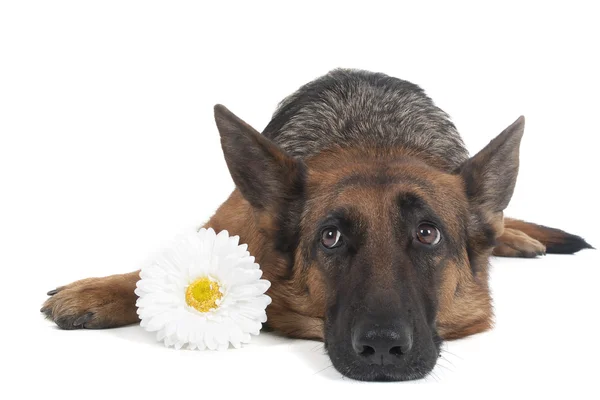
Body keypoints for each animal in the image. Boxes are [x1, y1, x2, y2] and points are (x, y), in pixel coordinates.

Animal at [41, 70, 592, 382]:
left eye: (427, 232)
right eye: (331, 237)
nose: (383, 349)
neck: (373, 138)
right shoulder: (232, 228)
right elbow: (154, 270)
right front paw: (99, 291)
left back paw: (516, 237)